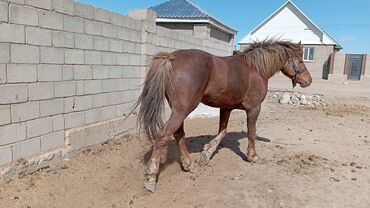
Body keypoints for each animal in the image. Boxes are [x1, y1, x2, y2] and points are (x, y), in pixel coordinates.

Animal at [133, 39, 312, 192]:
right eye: (300, 60)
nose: (308, 81)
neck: (255, 68)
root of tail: (171, 57)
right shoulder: (254, 109)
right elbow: (251, 133)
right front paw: (252, 156)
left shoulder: (226, 108)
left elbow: (222, 132)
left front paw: (206, 154)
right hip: (182, 110)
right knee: (164, 136)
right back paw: (151, 178)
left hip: (178, 110)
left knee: (178, 134)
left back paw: (189, 165)